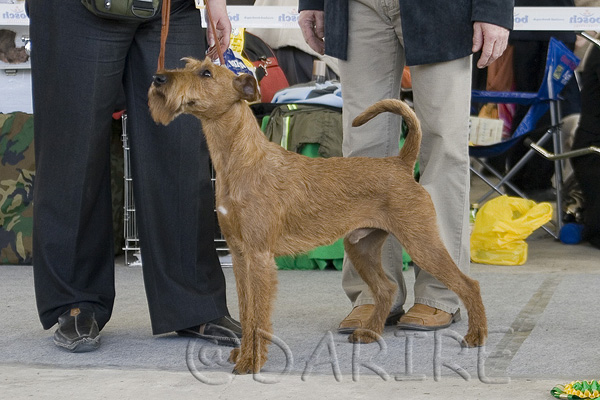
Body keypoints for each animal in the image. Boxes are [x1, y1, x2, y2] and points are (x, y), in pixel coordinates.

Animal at [146, 57, 488, 376]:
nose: (158, 78)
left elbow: (258, 315)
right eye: (187, 65)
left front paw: (251, 362)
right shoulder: (240, 255)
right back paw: (368, 332)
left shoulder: (258, 256)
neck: (241, 160)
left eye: (206, 73)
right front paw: (243, 353)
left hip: (421, 241)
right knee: (386, 289)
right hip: (361, 246)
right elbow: (245, 311)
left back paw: (476, 336)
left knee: (469, 283)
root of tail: (401, 163)